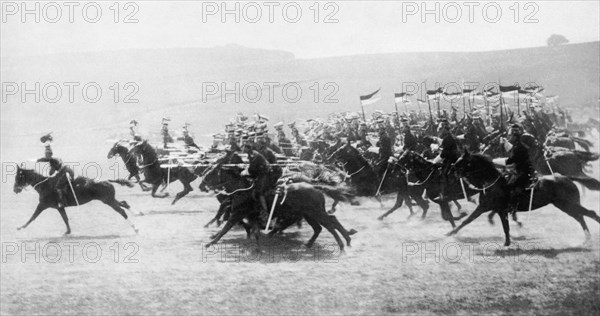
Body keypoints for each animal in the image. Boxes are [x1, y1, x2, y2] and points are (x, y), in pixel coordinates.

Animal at [13, 165, 141, 235]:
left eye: (18, 177)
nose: (15, 189)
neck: (45, 185)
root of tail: (107, 181)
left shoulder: (42, 205)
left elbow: (33, 217)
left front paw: (20, 227)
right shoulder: (60, 208)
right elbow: (65, 218)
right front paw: (68, 232)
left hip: (108, 201)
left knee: (122, 211)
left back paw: (136, 228)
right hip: (110, 200)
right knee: (124, 203)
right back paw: (138, 214)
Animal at [202, 158, 356, 252]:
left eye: (211, 172)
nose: (202, 184)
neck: (243, 189)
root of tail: (315, 186)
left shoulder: (237, 213)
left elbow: (226, 228)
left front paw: (211, 242)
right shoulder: (249, 215)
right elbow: (253, 230)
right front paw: (258, 247)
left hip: (315, 213)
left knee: (329, 225)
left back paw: (342, 245)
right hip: (309, 214)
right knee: (321, 226)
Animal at [450, 149, 600, 246]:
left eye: (462, 161)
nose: (451, 170)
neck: (493, 182)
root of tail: (567, 177)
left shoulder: (493, 209)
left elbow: (502, 226)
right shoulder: (487, 208)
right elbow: (468, 220)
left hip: (568, 205)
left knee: (590, 213)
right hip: (566, 206)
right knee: (580, 217)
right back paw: (586, 239)